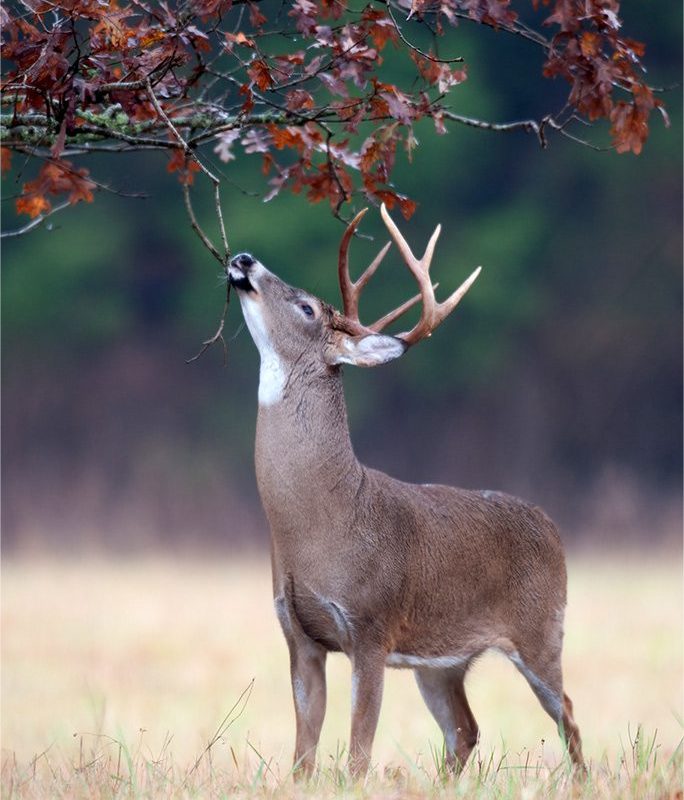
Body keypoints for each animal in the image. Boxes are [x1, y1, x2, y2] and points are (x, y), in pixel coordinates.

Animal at [226, 203, 584, 780]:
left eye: (306, 307)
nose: (243, 258)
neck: (320, 521)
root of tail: (550, 523)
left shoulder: (372, 626)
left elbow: (358, 751)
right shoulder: (298, 632)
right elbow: (304, 750)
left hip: (542, 630)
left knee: (567, 714)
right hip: (442, 660)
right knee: (464, 729)